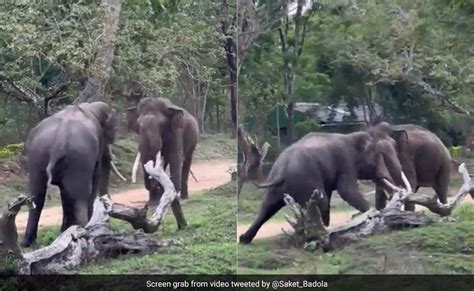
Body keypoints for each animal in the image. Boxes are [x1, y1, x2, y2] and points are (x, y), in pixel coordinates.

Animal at [22, 101, 123, 248]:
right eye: (114, 129)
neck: (89, 106)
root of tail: (59, 139)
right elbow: (95, 178)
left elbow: (65, 193)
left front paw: (63, 231)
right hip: (79, 157)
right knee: (80, 195)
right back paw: (84, 230)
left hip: (36, 155)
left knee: (37, 196)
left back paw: (27, 242)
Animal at [125, 98, 199, 230]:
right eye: (138, 126)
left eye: (162, 125)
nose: (153, 185)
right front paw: (153, 202)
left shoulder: (176, 131)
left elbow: (176, 157)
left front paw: (174, 196)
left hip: (193, 141)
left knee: (186, 162)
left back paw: (184, 197)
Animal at [239, 124, 410, 246]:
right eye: (377, 156)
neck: (353, 136)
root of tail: (281, 171)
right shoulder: (345, 162)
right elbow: (346, 191)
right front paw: (369, 215)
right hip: (305, 180)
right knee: (317, 200)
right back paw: (323, 233)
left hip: (279, 188)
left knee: (267, 207)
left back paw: (244, 239)